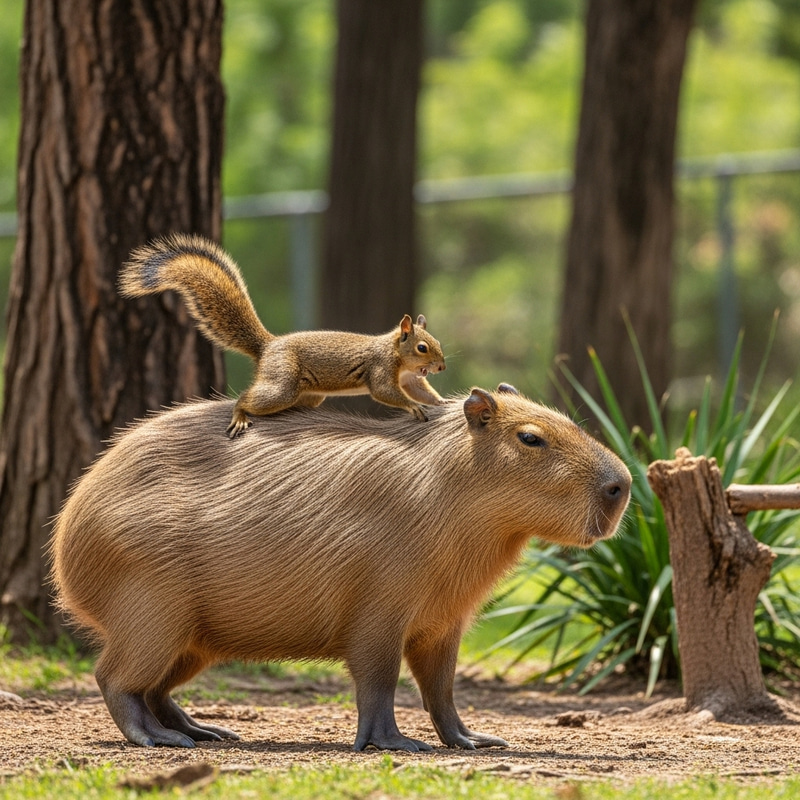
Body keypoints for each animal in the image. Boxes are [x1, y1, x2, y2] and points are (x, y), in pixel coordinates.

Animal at [119, 233, 447, 438]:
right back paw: (240, 415)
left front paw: (440, 401)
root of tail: (268, 346)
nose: (442, 367)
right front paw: (413, 407)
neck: (397, 354)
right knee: (247, 398)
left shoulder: (411, 379)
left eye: (438, 343)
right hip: (281, 383)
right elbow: (385, 392)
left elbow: (422, 390)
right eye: (422, 347)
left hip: (308, 394)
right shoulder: (381, 367)